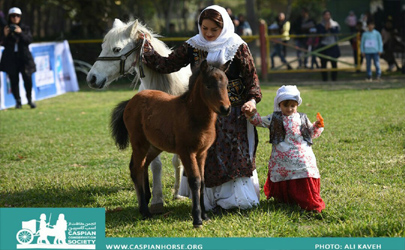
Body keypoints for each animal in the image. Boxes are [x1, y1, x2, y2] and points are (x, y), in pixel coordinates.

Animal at [86, 19, 190, 213]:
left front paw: (178, 193)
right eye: (103, 46)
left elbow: (177, 161)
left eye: (117, 49)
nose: (92, 78)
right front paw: (156, 199)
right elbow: (156, 165)